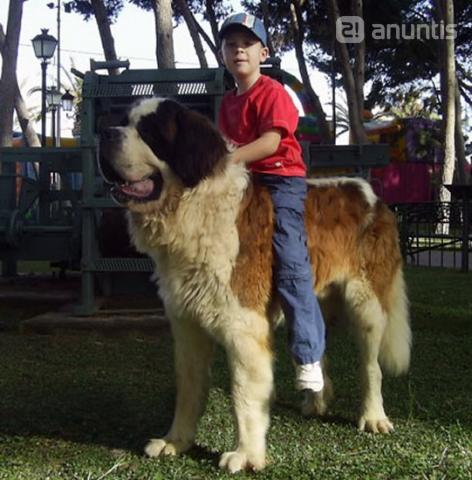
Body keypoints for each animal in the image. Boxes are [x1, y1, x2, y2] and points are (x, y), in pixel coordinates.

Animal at [97, 96, 412, 472]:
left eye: (150, 131)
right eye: (124, 120)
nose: (105, 133)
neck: (193, 206)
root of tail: (370, 193)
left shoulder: (243, 325)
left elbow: (243, 392)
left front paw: (246, 454)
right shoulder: (187, 325)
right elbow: (188, 386)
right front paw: (176, 441)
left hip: (367, 304)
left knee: (370, 366)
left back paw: (373, 416)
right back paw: (316, 398)